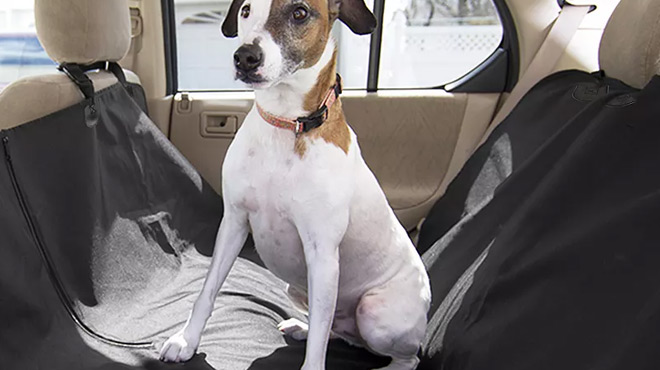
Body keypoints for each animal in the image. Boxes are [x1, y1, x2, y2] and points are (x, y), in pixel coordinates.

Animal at [157, 0, 430, 368]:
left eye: (299, 12)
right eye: (245, 10)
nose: (245, 57)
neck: (286, 123)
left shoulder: (323, 253)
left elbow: (318, 344)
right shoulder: (233, 223)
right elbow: (208, 289)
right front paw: (186, 340)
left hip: (374, 313)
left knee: (403, 356)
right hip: (298, 289)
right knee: (329, 327)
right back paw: (303, 326)